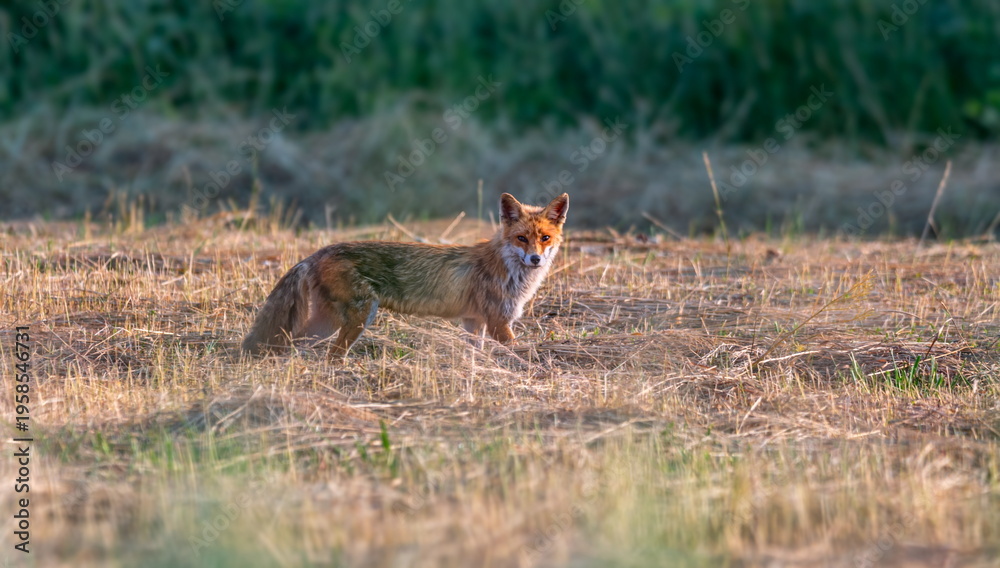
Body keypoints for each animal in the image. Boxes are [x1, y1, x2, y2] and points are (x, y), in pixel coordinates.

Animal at [241, 192, 569, 358]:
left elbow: (474, 351)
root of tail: (317, 252)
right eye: (521, 239)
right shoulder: (500, 323)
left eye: (545, 238)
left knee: (292, 341)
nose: (536, 259)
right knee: (329, 351)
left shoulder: (473, 322)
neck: (508, 270)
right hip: (358, 316)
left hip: (328, 322)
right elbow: (515, 351)